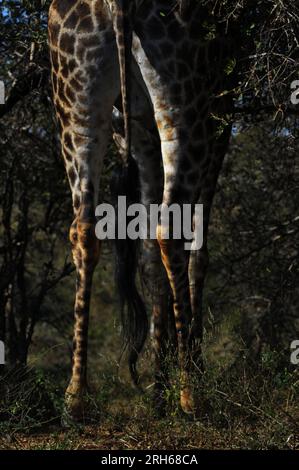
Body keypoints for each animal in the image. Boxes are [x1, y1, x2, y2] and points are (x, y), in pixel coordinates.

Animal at [48, 0, 237, 418]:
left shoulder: (139, 133)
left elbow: (149, 259)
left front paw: (158, 388)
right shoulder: (222, 117)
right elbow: (198, 250)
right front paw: (181, 372)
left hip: (77, 108)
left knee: (84, 229)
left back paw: (75, 396)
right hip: (184, 105)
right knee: (170, 231)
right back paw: (190, 394)